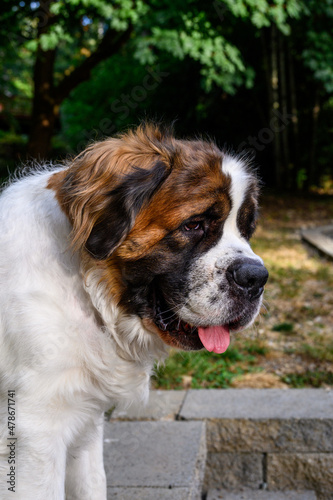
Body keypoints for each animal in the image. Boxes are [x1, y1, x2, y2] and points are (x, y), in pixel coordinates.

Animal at [0, 123, 268, 498]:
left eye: (246, 229)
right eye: (194, 225)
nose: (257, 278)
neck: (89, 289)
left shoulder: (85, 419)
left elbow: (93, 483)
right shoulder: (36, 431)